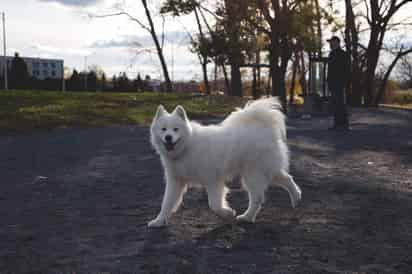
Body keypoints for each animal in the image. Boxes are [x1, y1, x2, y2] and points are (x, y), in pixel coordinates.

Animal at [146, 97, 300, 227]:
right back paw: (296, 198)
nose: (168, 137)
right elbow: (166, 203)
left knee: (257, 197)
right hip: (266, 170)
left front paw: (227, 213)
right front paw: (158, 221)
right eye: (163, 129)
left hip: (253, 174)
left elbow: (214, 204)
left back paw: (247, 217)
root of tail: (263, 128)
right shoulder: (175, 181)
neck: (187, 146)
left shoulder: (212, 180)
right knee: (287, 178)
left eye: (176, 129)